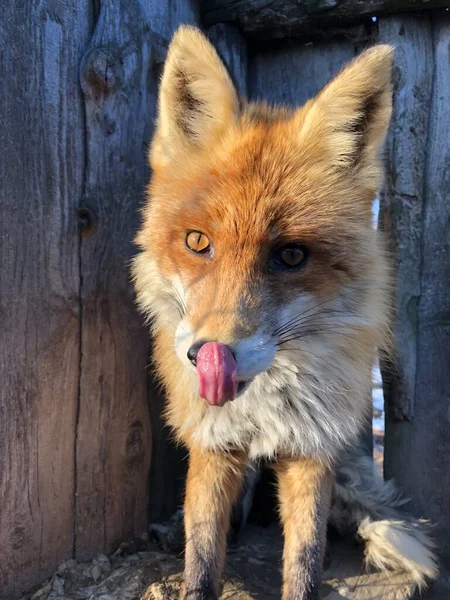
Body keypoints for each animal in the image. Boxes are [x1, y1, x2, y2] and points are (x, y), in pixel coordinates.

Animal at [132, 25, 438, 596]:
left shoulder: (312, 449)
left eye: (292, 256)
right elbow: (201, 553)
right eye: (197, 242)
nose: (210, 355)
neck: (264, 401)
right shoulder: (212, 442)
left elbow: (305, 558)